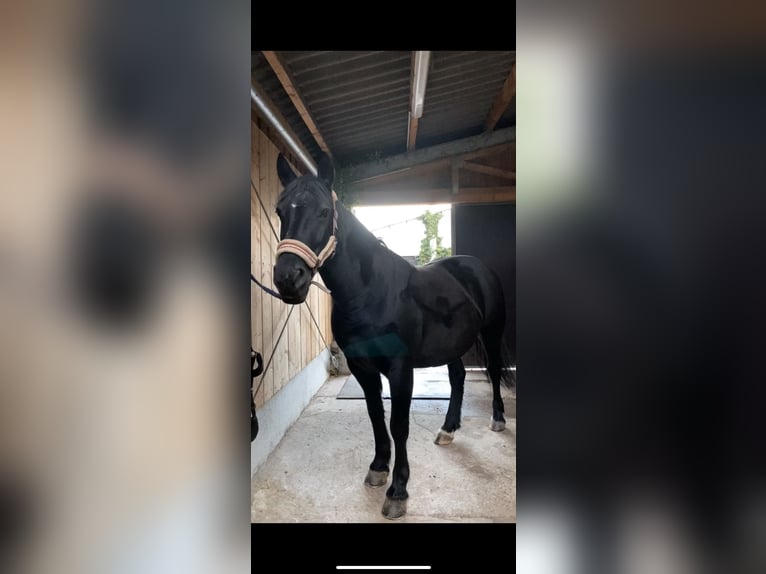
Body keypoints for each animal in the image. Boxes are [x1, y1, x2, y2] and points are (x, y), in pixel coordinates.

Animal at [272, 153, 514, 519]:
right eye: (280, 211)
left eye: (324, 212)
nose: (288, 279)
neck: (370, 292)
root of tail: (476, 267)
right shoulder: (363, 368)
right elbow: (376, 416)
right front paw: (378, 468)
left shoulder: (401, 370)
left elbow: (399, 424)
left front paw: (398, 490)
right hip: (454, 344)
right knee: (457, 378)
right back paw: (447, 430)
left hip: (491, 332)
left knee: (495, 371)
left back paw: (497, 420)